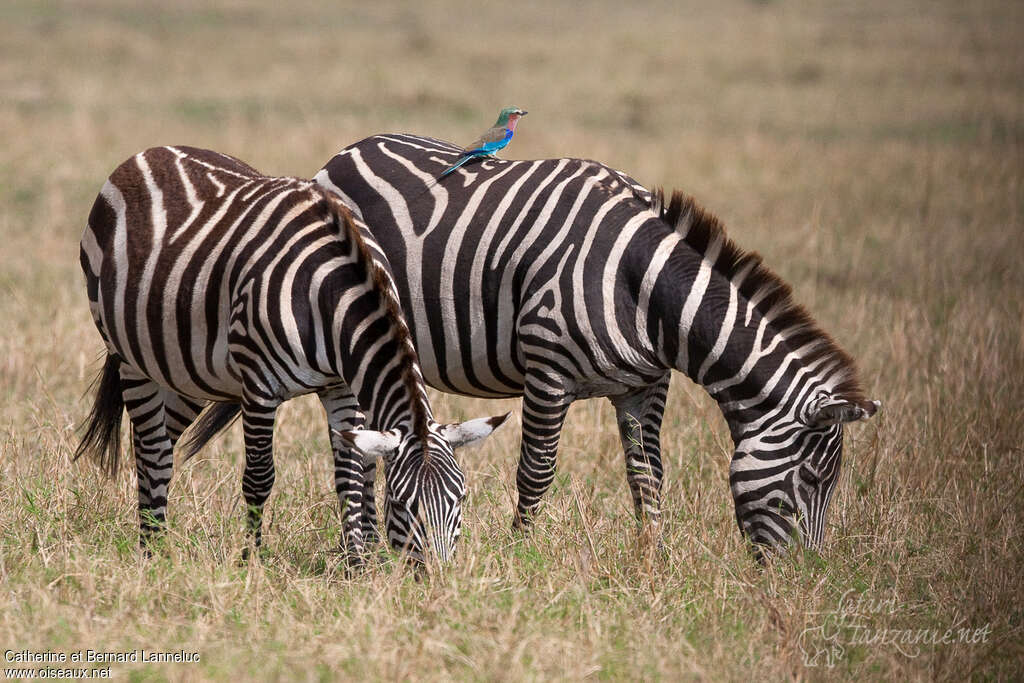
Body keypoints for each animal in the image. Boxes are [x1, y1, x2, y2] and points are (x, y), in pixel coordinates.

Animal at [77, 145, 509, 565]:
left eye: (462, 498)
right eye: (402, 505)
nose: (440, 579)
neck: (331, 297)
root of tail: (147, 153)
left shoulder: (342, 387)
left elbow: (350, 475)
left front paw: (357, 565)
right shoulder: (259, 387)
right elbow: (259, 478)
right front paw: (251, 562)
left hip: (185, 367)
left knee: (164, 442)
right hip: (131, 357)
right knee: (151, 451)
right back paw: (152, 551)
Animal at [313, 135, 880, 561]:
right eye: (814, 478)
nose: (799, 577)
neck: (641, 288)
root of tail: (347, 151)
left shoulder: (646, 384)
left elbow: (648, 475)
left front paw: (654, 559)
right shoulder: (548, 371)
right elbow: (536, 473)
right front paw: (522, 557)